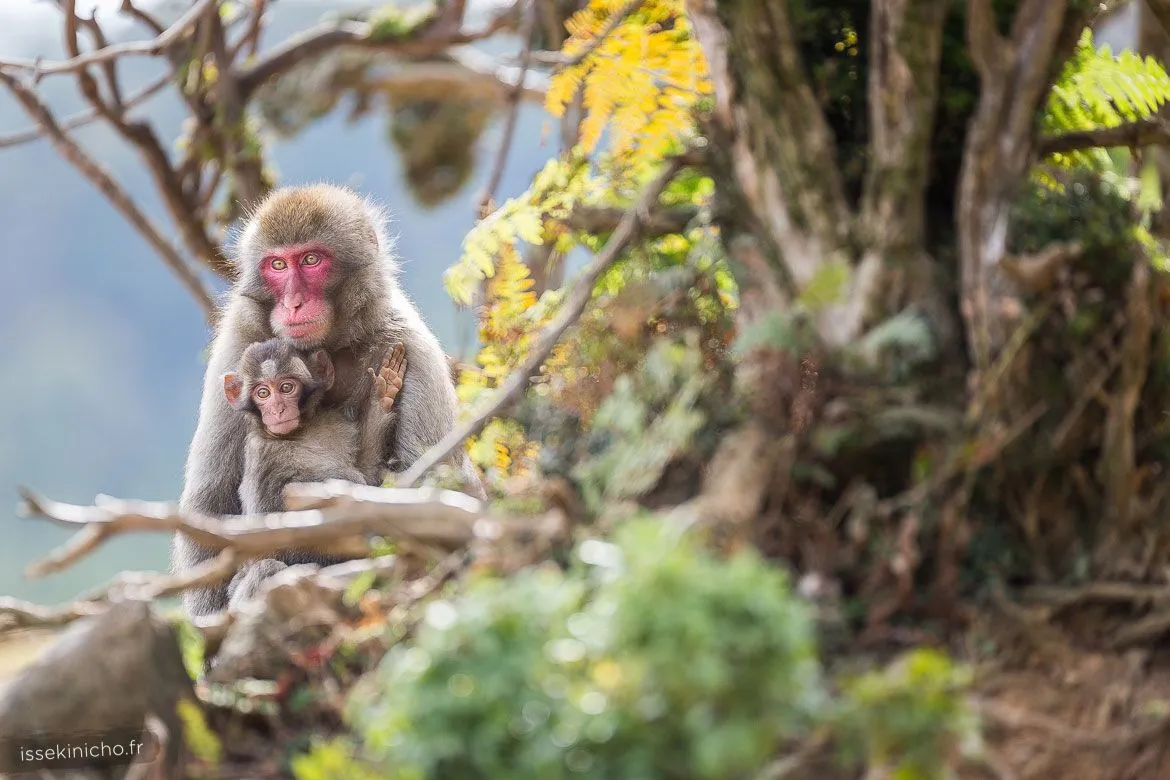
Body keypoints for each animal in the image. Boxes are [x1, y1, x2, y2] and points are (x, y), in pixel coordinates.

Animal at [221, 338, 406, 609]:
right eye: (263, 393)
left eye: (286, 387)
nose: (277, 410)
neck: (299, 432)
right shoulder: (261, 455)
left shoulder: (335, 423)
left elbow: (367, 474)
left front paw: (381, 395)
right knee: (267, 568)